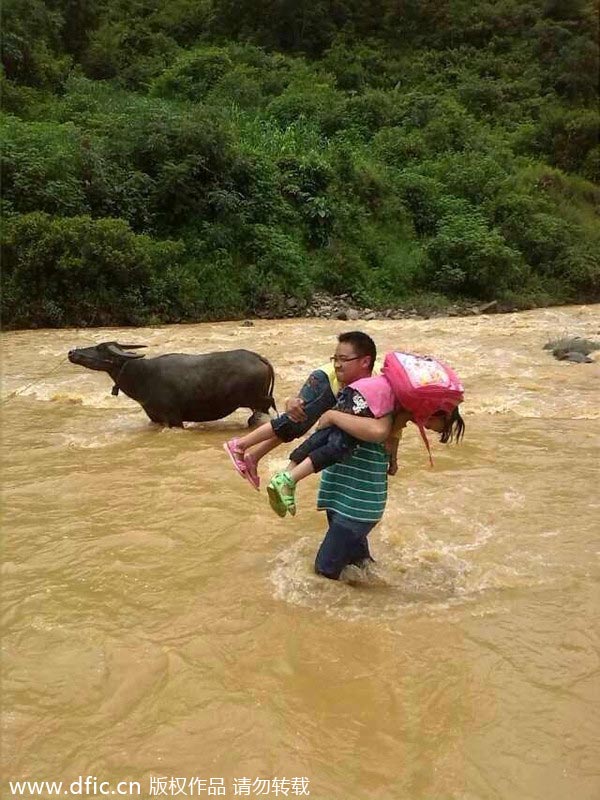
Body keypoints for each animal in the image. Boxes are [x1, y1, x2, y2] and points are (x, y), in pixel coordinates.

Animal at [68, 344, 276, 432]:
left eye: (101, 348)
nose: (72, 352)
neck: (144, 376)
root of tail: (260, 358)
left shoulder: (174, 418)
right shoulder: (155, 418)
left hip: (258, 403)